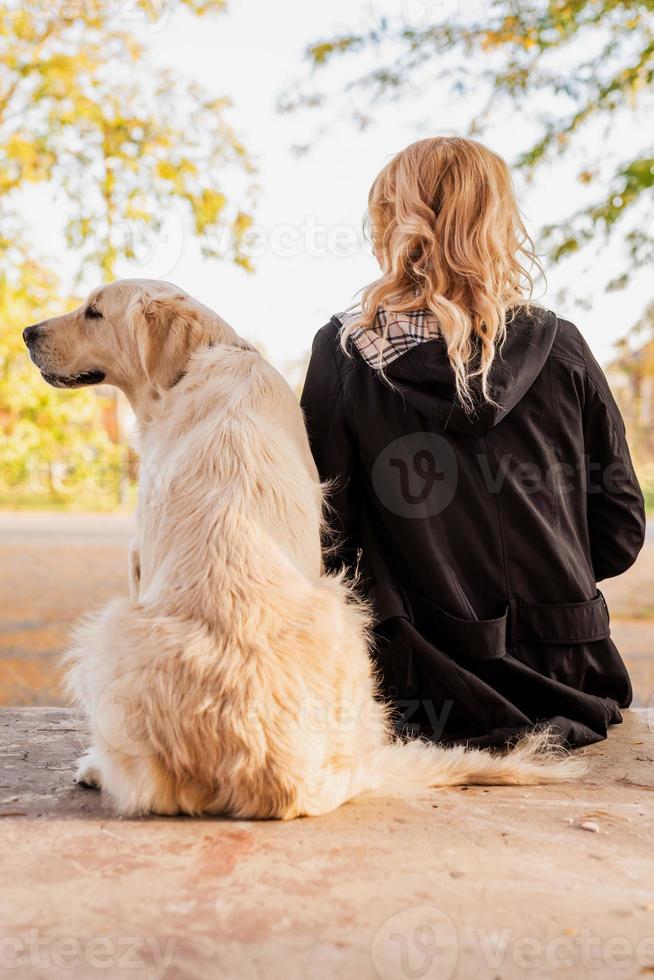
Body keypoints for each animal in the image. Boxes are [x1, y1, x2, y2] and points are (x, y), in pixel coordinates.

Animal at [21, 280, 584, 816]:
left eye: (94, 311)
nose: (26, 332)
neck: (208, 359)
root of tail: (275, 773)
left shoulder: (138, 557)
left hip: (111, 627)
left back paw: (96, 767)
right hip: (346, 613)